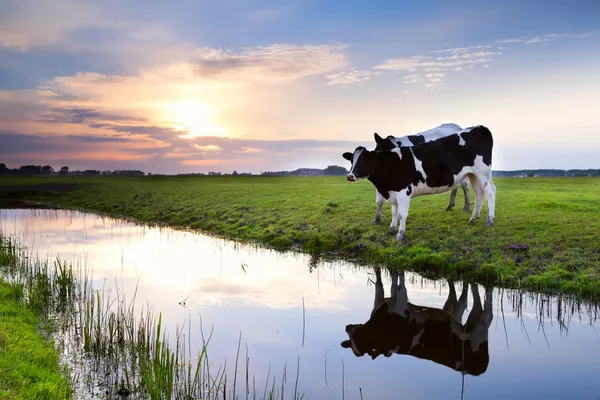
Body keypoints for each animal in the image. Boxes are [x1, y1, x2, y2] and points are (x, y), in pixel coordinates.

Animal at [340, 268, 494, 376]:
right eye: (350, 340)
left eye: (358, 336)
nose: (347, 327)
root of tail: (478, 370)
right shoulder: (389, 301)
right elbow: (388, 284)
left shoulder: (402, 304)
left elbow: (400, 285)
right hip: (463, 324)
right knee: (466, 304)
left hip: (478, 334)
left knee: (487, 314)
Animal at [342, 125, 496, 241]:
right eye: (351, 160)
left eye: (363, 160)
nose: (350, 176)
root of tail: (480, 127)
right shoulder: (393, 191)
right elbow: (394, 212)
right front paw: (391, 229)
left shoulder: (403, 191)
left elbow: (402, 214)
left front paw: (400, 235)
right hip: (473, 174)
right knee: (479, 194)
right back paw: (473, 218)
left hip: (482, 172)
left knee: (489, 191)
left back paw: (489, 220)